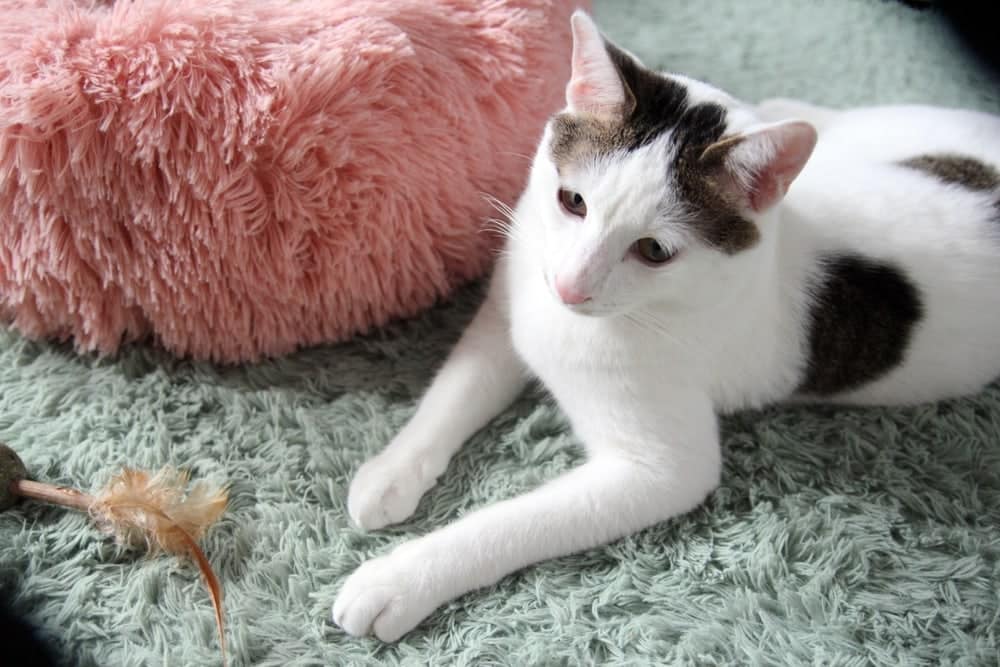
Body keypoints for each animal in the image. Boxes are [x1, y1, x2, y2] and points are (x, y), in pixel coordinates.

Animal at [332, 7, 1000, 640]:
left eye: (653, 251)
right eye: (572, 201)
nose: (569, 287)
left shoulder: (662, 472)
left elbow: (515, 520)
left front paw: (400, 577)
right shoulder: (508, 312)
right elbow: (454, 389)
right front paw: (390, 472)